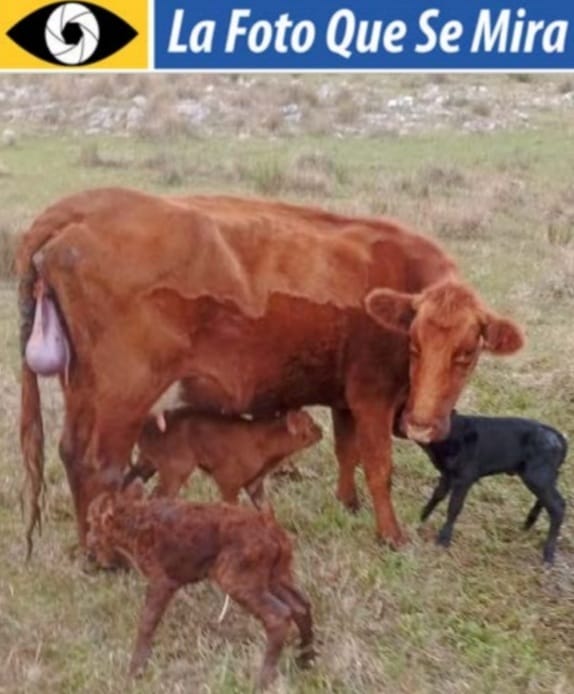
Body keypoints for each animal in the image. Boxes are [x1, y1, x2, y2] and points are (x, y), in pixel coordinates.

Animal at [17, 187, 524, 556]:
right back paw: (109, 557)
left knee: (71, 455)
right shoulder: (373, 395)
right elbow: (379, 465)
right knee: (100, 466)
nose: (421, 424)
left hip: (82, 387)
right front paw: (390, 535)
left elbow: (347, 452)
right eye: (414, 344)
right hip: (124, 393)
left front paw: (348, 504)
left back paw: (89, 550)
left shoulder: (345, 396)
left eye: (468, 353)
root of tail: (93, 203)